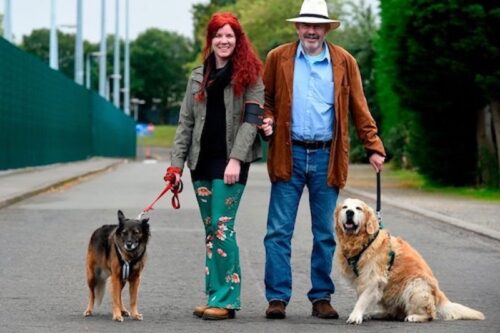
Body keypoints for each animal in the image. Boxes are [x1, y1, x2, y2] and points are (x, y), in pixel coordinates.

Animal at [336, 198, 484, 322]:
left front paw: (355, 316)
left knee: (430, 314)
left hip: (414, 285)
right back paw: (376, 313)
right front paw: (361, 314)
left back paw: (414, 317)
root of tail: (438, 293)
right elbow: (362, 298)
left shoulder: (373, 279)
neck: (362, 242)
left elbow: (362, 300)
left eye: (358, 208)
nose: (349, 212)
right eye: (344, 207)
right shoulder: (361, 280)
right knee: (394, 313)